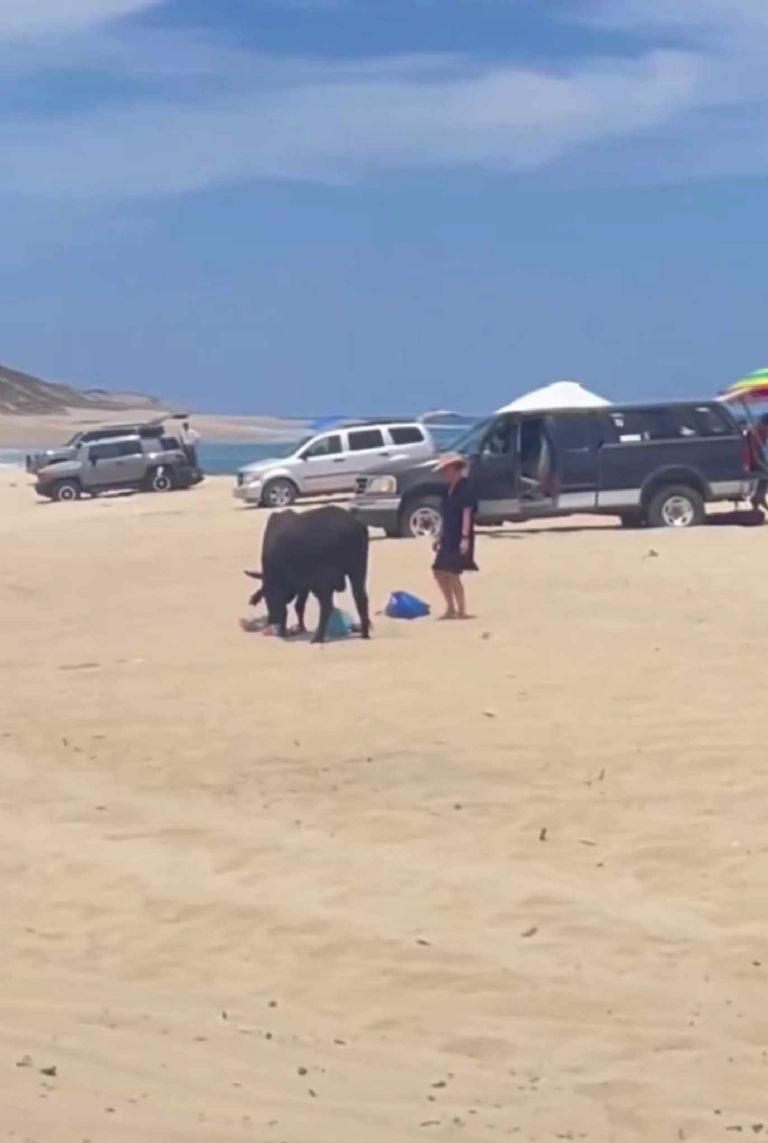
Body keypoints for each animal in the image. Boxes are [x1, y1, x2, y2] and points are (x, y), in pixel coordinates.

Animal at [243, 507, 368, 644]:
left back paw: (318, 637)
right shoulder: (303, 586)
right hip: (357, 570)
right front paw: (300, 628)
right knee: (360, 598)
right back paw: (364, 632)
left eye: (267, 597)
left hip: (323, 579)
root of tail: (352, 523)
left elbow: (286, 608)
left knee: (326, 606)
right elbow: (299, 606)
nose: (271, 620)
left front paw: (284, 631)